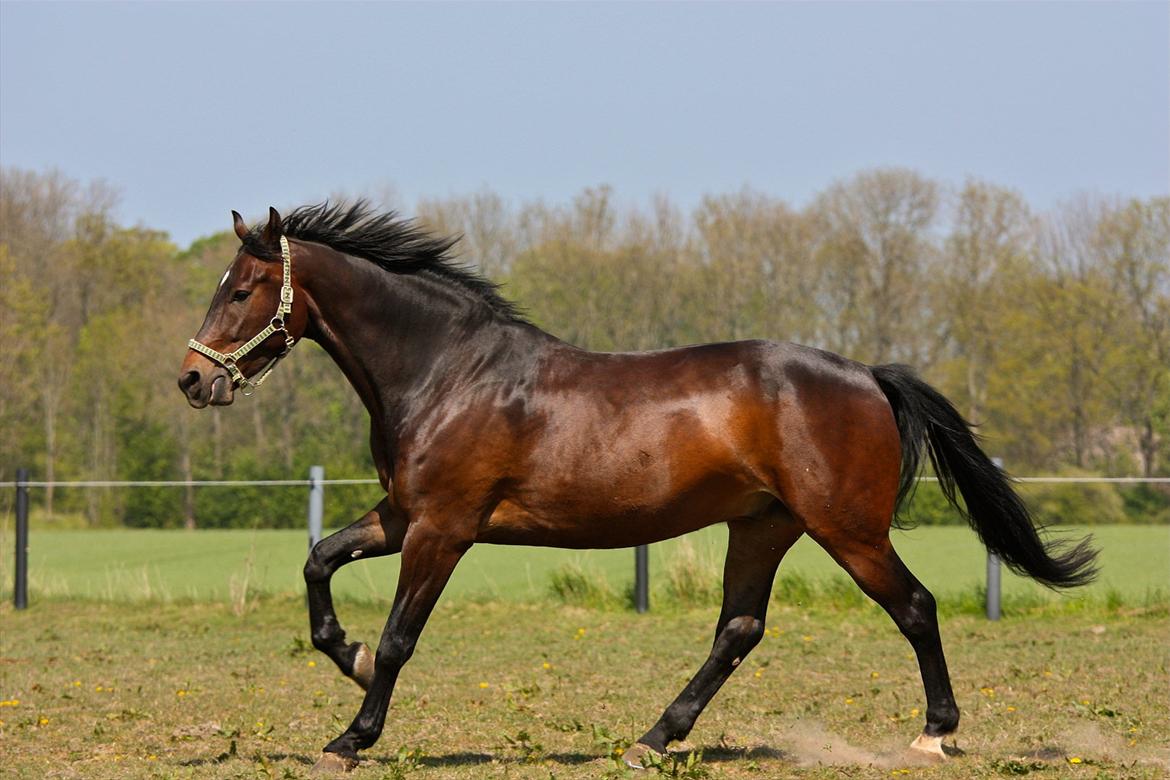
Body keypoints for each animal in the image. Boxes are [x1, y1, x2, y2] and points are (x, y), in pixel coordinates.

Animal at [177, 203, 1090, 776]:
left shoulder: (443, 528)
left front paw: (352, 736)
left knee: (915, 607)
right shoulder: (402, 516)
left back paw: (934, 736)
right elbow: (317, 562)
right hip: (764, 526)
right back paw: (654, 737)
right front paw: (350, 657)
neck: (447, 371)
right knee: (739, 629)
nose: (192, 380)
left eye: (242, 289)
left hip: (848, 529)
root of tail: (867, 374)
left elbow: (403, 636)